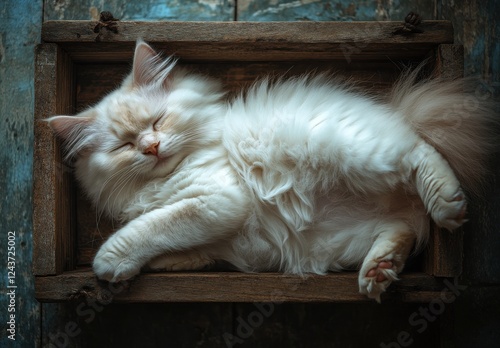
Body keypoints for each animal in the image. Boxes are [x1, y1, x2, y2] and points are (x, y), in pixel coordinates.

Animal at [47, 40, 496, 302]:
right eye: (123, 146)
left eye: (158, 121)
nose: (151, 147)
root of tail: (399, 112)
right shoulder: (214, 232)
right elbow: (186, 250)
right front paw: (157, 265)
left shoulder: (216, 199)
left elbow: (151, 227)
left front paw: (109, 262)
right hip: (343, 240)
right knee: (404, 227)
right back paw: (379, 271)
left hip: (359, 150)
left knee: (420, 153)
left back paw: (447, 206)